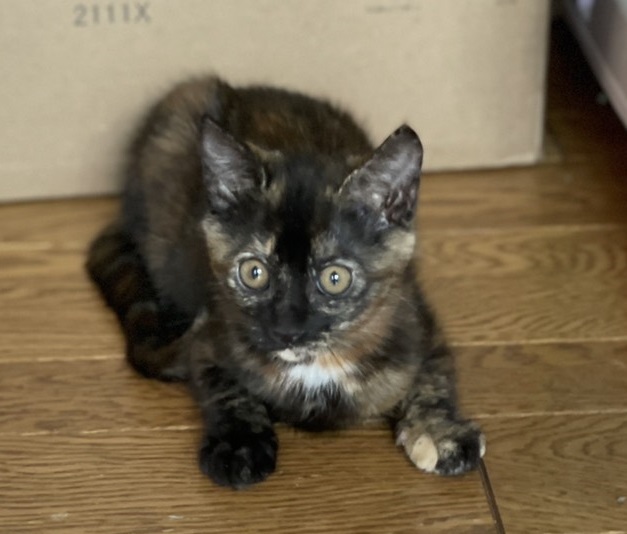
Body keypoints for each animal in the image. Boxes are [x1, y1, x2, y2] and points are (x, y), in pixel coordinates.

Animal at [86, 75, 485, 489]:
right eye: (254, 273)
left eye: (335, 278)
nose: (287, 330)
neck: (319, 367)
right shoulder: (209, 334)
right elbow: (223, 386)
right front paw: (239, 442)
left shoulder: (417, 316)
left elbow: (434, 375)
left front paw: (440, 431)